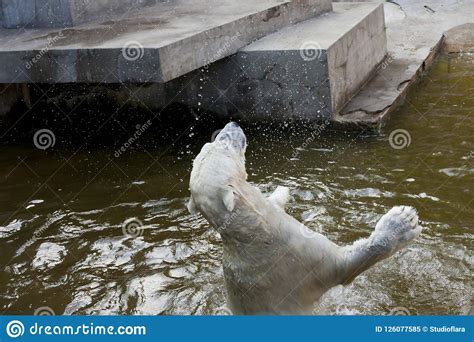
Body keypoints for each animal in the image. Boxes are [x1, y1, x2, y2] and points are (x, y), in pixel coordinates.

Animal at [189, 122, 422, 316]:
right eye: (223, 145)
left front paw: (282, 191)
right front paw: (402, 221)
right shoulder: (298, 258)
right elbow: (345, 265)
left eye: (209, 144)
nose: (232, 125)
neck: (253, 230)